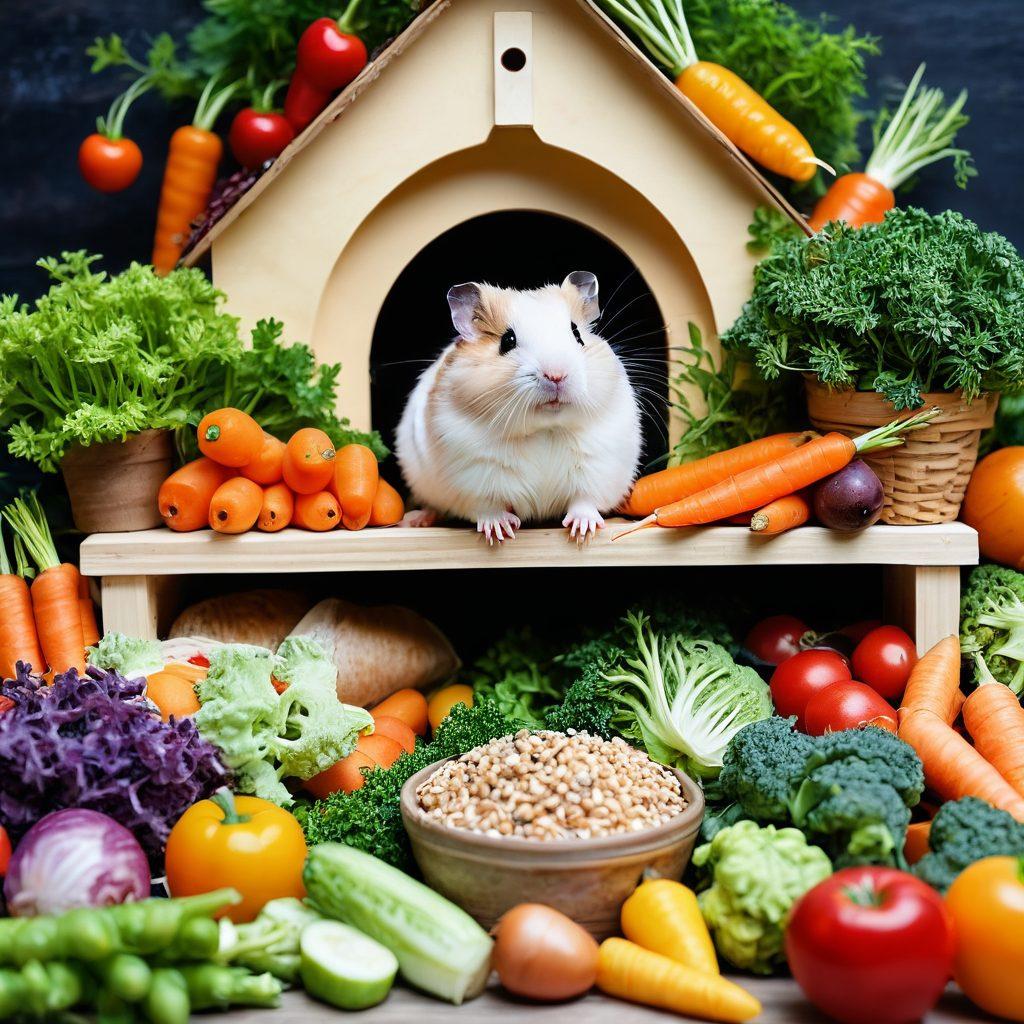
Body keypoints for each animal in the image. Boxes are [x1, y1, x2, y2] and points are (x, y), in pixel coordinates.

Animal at [395, 271, 641, 542]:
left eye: (577, 334)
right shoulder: (475, 474)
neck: (545, 428)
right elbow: (488, 505)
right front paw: (499, 530)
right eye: (507, 341)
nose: (556, 375)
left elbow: (584, 499)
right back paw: (416, 519)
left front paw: (582, 531)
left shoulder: (597, 465)